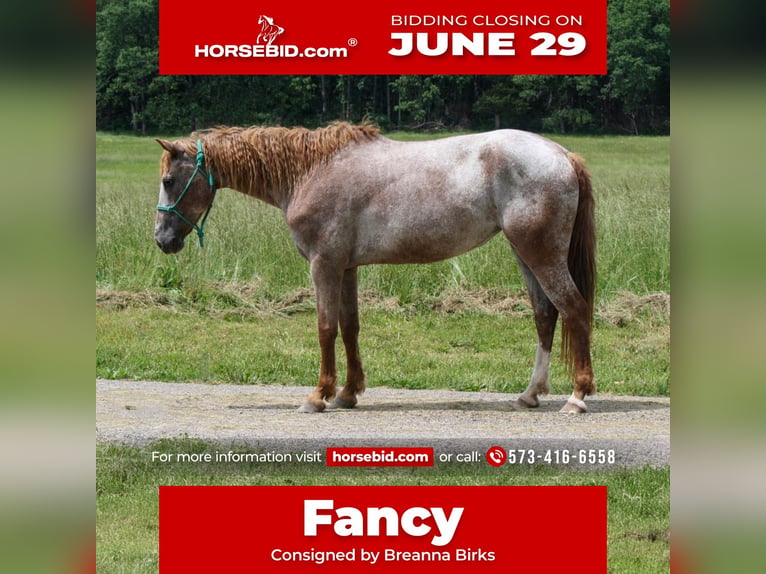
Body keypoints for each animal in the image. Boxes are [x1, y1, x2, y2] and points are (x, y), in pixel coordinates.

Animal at [154, 122, 596, 414]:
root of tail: (562, 155)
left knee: (573, 309)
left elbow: (325, 328)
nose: (162, 239)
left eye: (169, 180)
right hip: (525, 253)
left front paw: (319, 395)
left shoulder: (324, 265)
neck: (309, 172)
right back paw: (530, 394)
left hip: (540, 253)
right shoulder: (346, 268)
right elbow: (350, 327)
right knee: (545, 315)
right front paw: (348, 393)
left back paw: (577, 397)